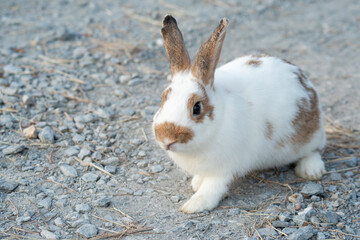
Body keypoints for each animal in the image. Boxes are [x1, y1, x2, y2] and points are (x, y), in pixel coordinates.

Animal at [152, 15, 326, 214]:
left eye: (197, 108)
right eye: (162, 98)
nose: (166, 139)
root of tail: (305, 81)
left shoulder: (223, 169)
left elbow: (212, 188)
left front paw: (193, 205)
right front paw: (196, 183)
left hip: (310, 135)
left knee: (314, 150)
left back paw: (311, 171)